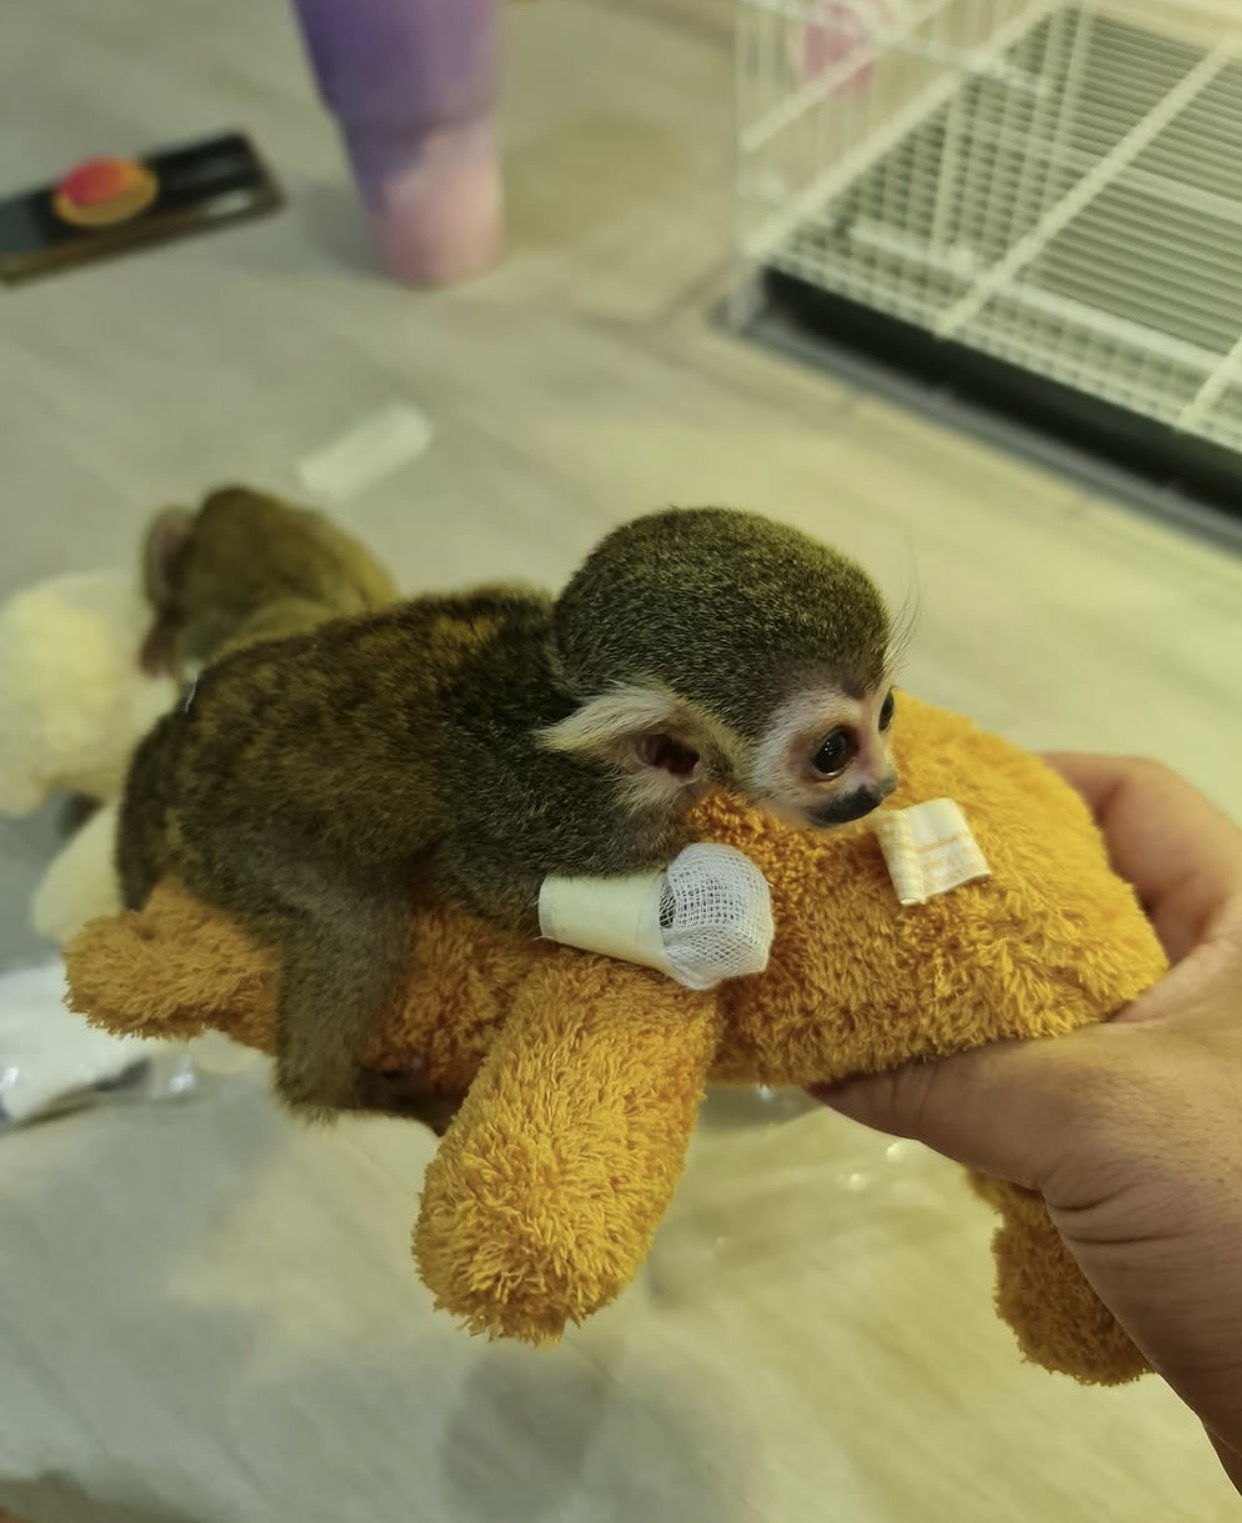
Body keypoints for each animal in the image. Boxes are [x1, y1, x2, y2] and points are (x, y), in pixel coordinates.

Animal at [116, 506, 900, 1128]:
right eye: (831, 752)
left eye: (886, 711)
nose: (884, 784)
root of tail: (181, 745)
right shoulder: (572, 815)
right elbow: (471, 873)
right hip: (235, 843)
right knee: (356, 924)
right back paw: (334, 1088)